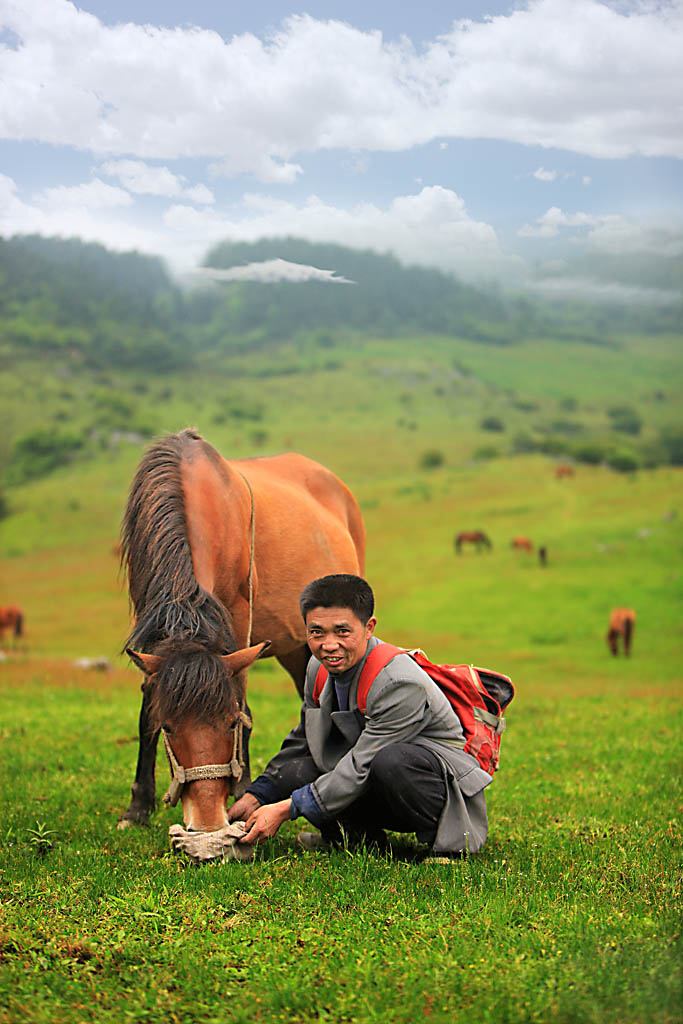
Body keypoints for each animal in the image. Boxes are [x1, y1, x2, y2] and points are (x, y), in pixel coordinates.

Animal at [120, 428, 366, 835]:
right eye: (170, 727)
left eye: (230, 723)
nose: (206, 820)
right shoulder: (152, 626)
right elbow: (145, 713)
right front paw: (138, 808)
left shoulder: (237, 622)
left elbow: (243, 700)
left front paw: (242, 790)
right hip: (295, 646)